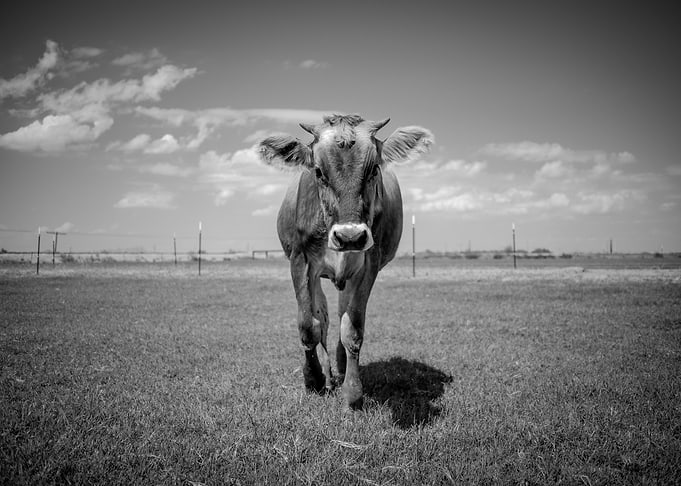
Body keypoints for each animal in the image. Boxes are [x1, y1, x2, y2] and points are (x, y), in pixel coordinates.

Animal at [257, 114, 433, 409]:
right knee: (324, 320)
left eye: (374, 169)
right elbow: (309, 326)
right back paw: (328, 375)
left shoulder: (369, 265)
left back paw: (340, 369)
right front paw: (314, 379)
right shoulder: (300, 261)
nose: (349, 235)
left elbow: (352, 329)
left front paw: (352, 392)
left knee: (340, 316)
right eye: (318, 171)